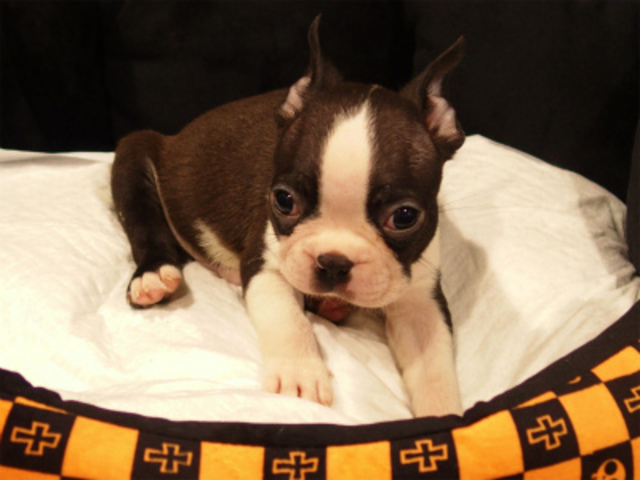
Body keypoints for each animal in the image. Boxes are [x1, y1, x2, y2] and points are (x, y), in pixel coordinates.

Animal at [111, 16, 465, 417]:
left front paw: (445, 418)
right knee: (146, 226)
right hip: (135, 153)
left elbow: (433, 365)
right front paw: (302, 375)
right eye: (283, 200)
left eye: (404, 217)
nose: (333, 262)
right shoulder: (266, 263)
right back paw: (153, 276)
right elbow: (287, 319)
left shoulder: (421, 298)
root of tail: (175, 137)